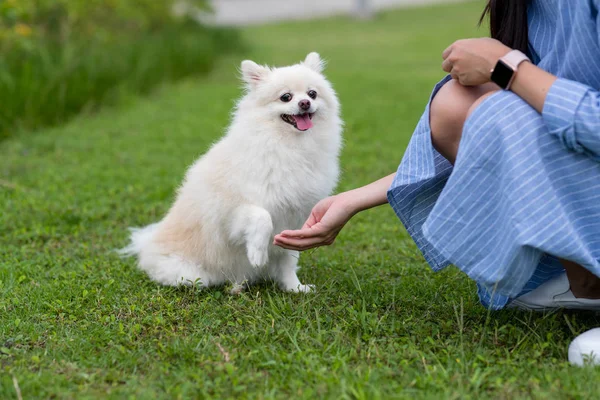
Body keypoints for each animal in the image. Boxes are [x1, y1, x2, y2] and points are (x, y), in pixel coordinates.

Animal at [120, 52, 342, 294]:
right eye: (286, 97)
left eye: (312, 93)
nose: (305, 103)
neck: (289, 145)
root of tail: (146, 244)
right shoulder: (231, 214)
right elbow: (262, 217)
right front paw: (257, 253)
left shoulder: (293, 221)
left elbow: (287, 262)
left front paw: (294, 287)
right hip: (193, 276)